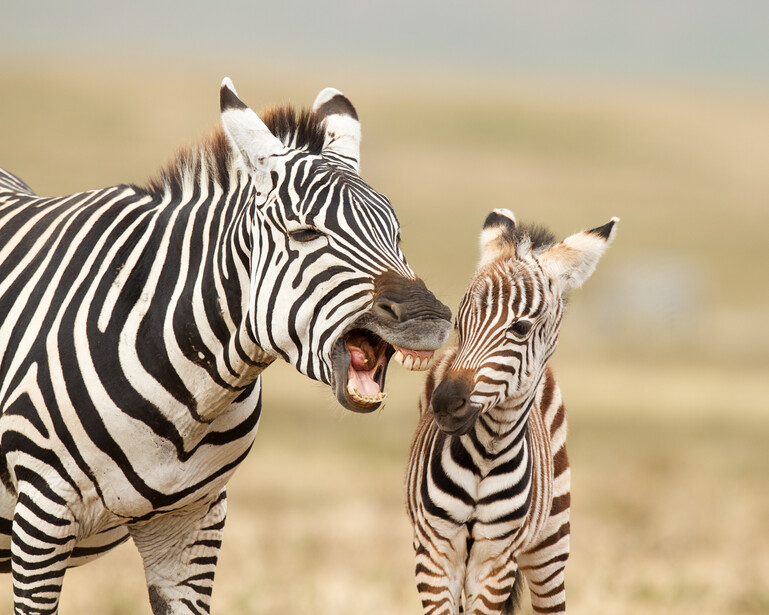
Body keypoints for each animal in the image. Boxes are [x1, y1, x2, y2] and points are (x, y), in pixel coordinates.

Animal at [405, 208, 617, 614]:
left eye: (520, 327)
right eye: (459, 322)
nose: (445, 403)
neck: (487, 454)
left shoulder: (496, 563)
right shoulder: (435, 554)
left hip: (551, 544)